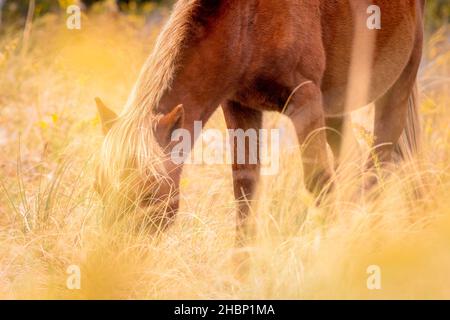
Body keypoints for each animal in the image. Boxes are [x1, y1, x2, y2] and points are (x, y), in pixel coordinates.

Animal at [93, 0, 424, 245]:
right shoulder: (240, 106)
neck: (247, 21)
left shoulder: (304, 100)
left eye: (149, 191)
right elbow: (245, 193)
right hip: (335, 107)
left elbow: (318, 183)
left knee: (381, 164)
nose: (116, 255)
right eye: (99, 188)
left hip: (398, 85)